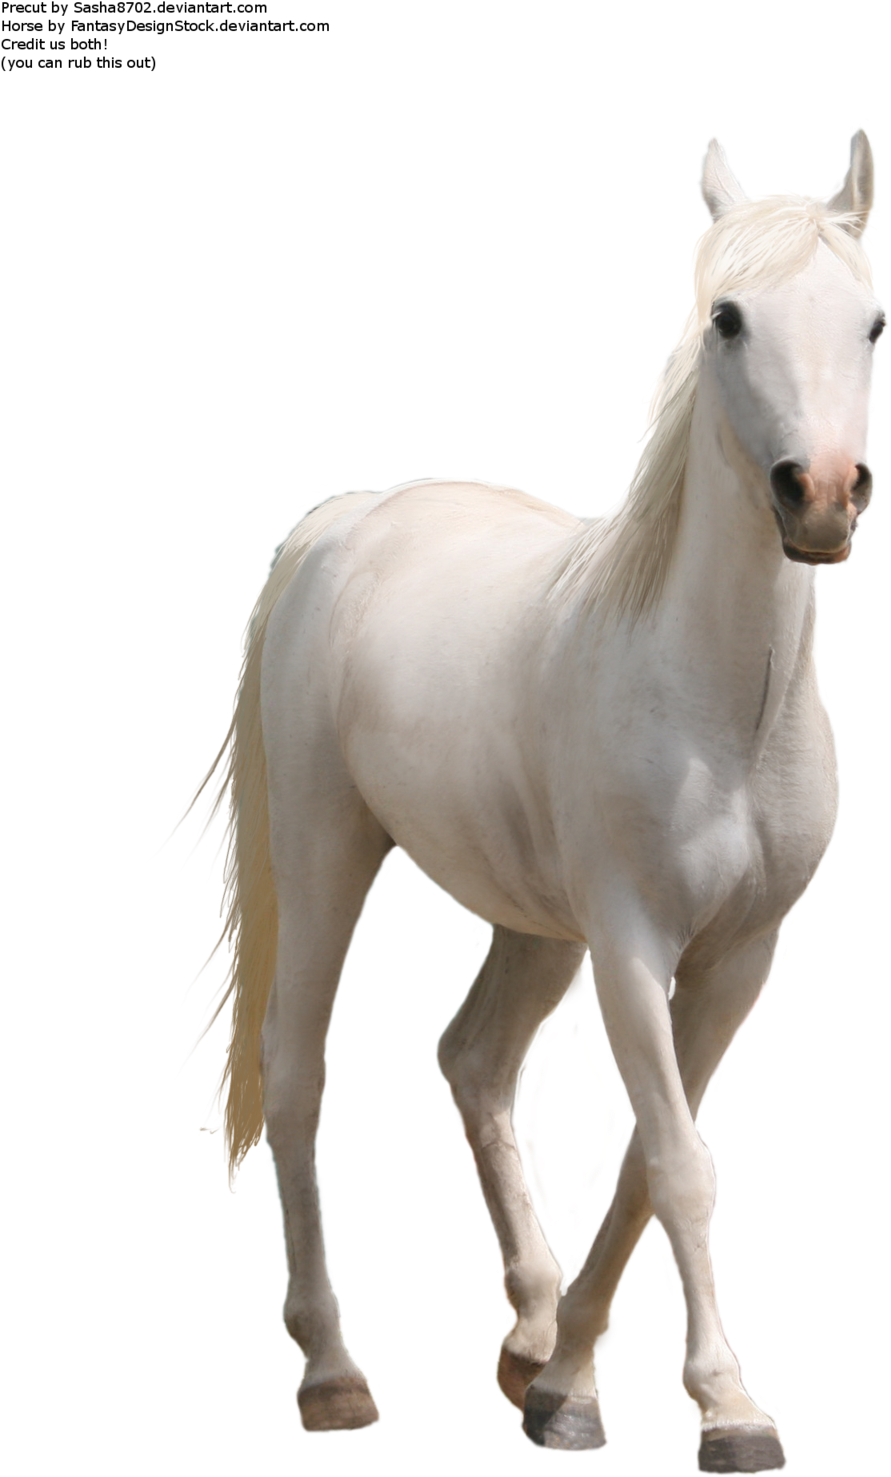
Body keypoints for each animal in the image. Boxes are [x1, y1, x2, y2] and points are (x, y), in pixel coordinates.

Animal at [155, 126, 884, 1472]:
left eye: (871, 321)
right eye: (728, 318)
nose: (820, 495)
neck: (721, 703)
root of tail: (348, 520)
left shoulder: (740, 952)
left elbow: (650, 1159)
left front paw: (574, 1384)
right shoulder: (637, 943)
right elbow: (679, 1163)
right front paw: (718, 1409)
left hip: (539, 924)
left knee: (477, 1061)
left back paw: (531, 1332)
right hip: (334, 852)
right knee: (297, 1068)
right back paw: (334, 1373)